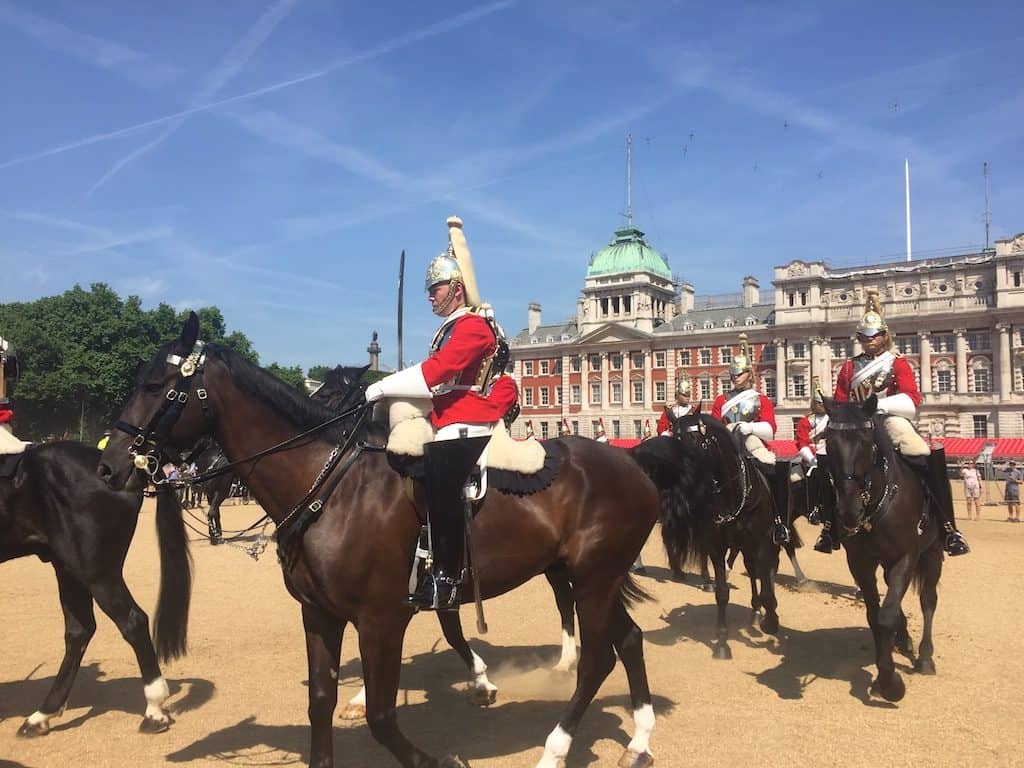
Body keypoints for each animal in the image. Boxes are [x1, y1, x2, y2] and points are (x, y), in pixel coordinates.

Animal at [0, 444, 190, 741]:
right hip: (66, 566)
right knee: (79, 631)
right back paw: (42, 715)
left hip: (96, 573)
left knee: (133, 622)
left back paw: (154, 710)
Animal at [667, 411, 786, 659]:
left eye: (693, 442)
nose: (675, 488)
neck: (734, 494)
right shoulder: (717, 547)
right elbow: (722, 592)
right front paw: (722, 642)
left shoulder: (762, 543)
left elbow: (767, 584)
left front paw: (771, 621)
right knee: (752, 571)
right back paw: (755, 610)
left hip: (767, 543)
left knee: (767, 570)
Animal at [823, 397, 942, 704]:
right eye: (828, 442)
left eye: (867, 442)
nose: (848, 512)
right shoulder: (860, 562)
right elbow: (875, 616)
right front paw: (883, 675)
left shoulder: (907, 557)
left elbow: (886, 616)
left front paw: (890, 683)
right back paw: (904, 640)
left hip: (933, 553)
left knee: (928, 600)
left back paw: (925, 656)